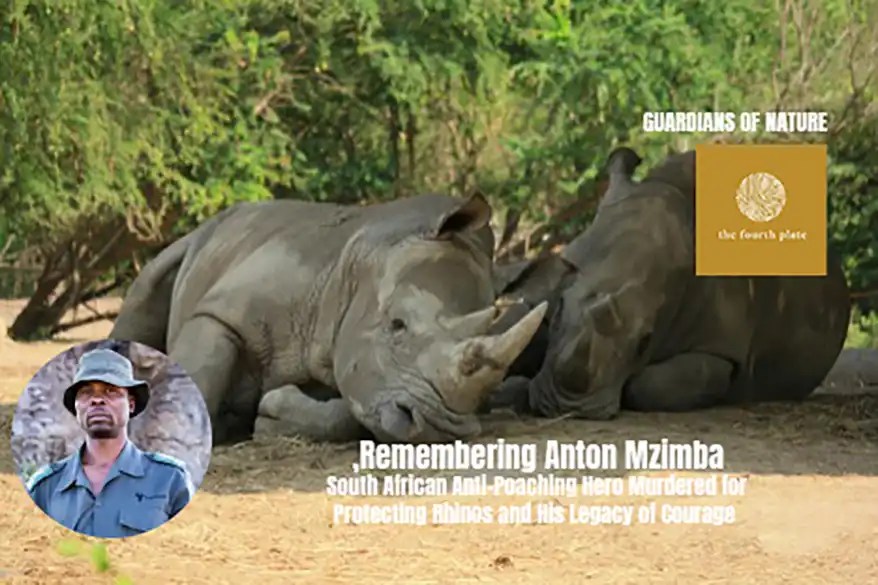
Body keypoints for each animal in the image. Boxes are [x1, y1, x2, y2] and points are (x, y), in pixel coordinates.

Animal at [110, 193, 547, 445]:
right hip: (195, 242)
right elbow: (199, 371)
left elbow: (348, 415)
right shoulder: (223, 310)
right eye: (397, 325)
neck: (360, 266)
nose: (439, 427)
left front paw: (268, 417)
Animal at [492, 147, 852, 418]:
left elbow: (651, 385)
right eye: (558, 313)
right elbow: (515, 326)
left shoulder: (722, 346)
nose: (566, 407)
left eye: (645, 342)